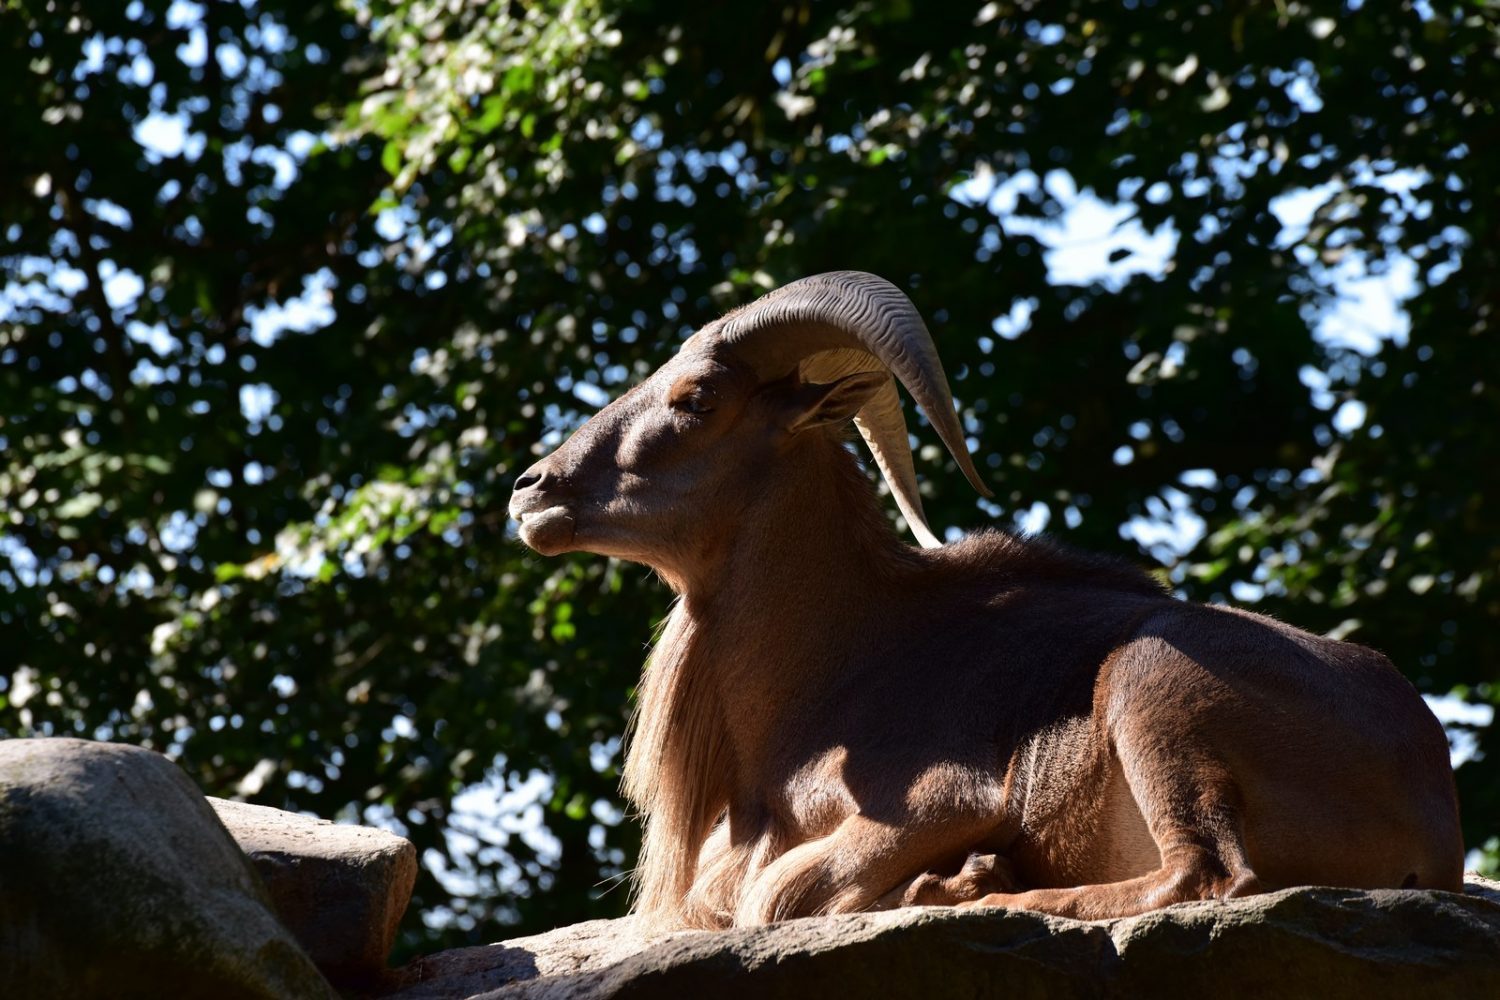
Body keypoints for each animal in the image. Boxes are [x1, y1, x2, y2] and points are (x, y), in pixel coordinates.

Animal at [510, 268, 1458, 929]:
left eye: (697, 398)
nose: (532, 489)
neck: (830, 667)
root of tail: (1433, 809)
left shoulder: (943, 802)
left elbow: (774, 895)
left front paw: (963, 875)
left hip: (1153, 682)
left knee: (1213, 873)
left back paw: (994, 894)